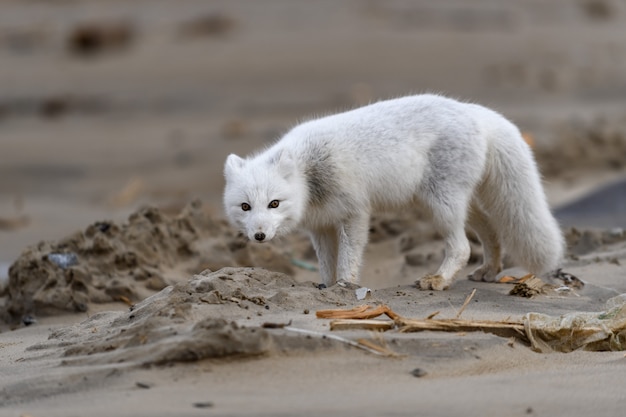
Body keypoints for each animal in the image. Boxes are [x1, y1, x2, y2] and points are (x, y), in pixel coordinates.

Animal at [222, 94, 564, 290]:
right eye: (245, 207)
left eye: (274, 203)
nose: (259, 236)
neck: (309, 171)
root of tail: (476, 112)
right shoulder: (320, 226)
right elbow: (326, 262)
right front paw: (326, 285)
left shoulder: (355, 213)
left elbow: (349, 256)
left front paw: (345, 285)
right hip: (445, 202)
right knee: (489, 229)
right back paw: (489, 270)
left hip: (440, 204)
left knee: (462, 247)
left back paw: (439, 280)